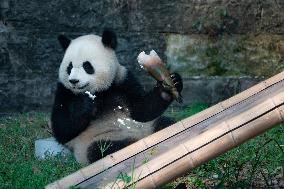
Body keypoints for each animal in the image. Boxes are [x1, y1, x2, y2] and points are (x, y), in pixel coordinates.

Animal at [50, 28, 184, 165]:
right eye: (69, 67)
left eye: (87, 66)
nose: (74, 81)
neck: (100, 91)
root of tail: (143, 136)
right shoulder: (64, 91)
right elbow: (62, 129)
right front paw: (84, 104)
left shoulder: (122, 79)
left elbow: (141, 110)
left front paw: (172, 84)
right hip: (95, 140)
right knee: (103, 148)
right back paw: (129, 145)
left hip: (149, 125)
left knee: (166, 122)